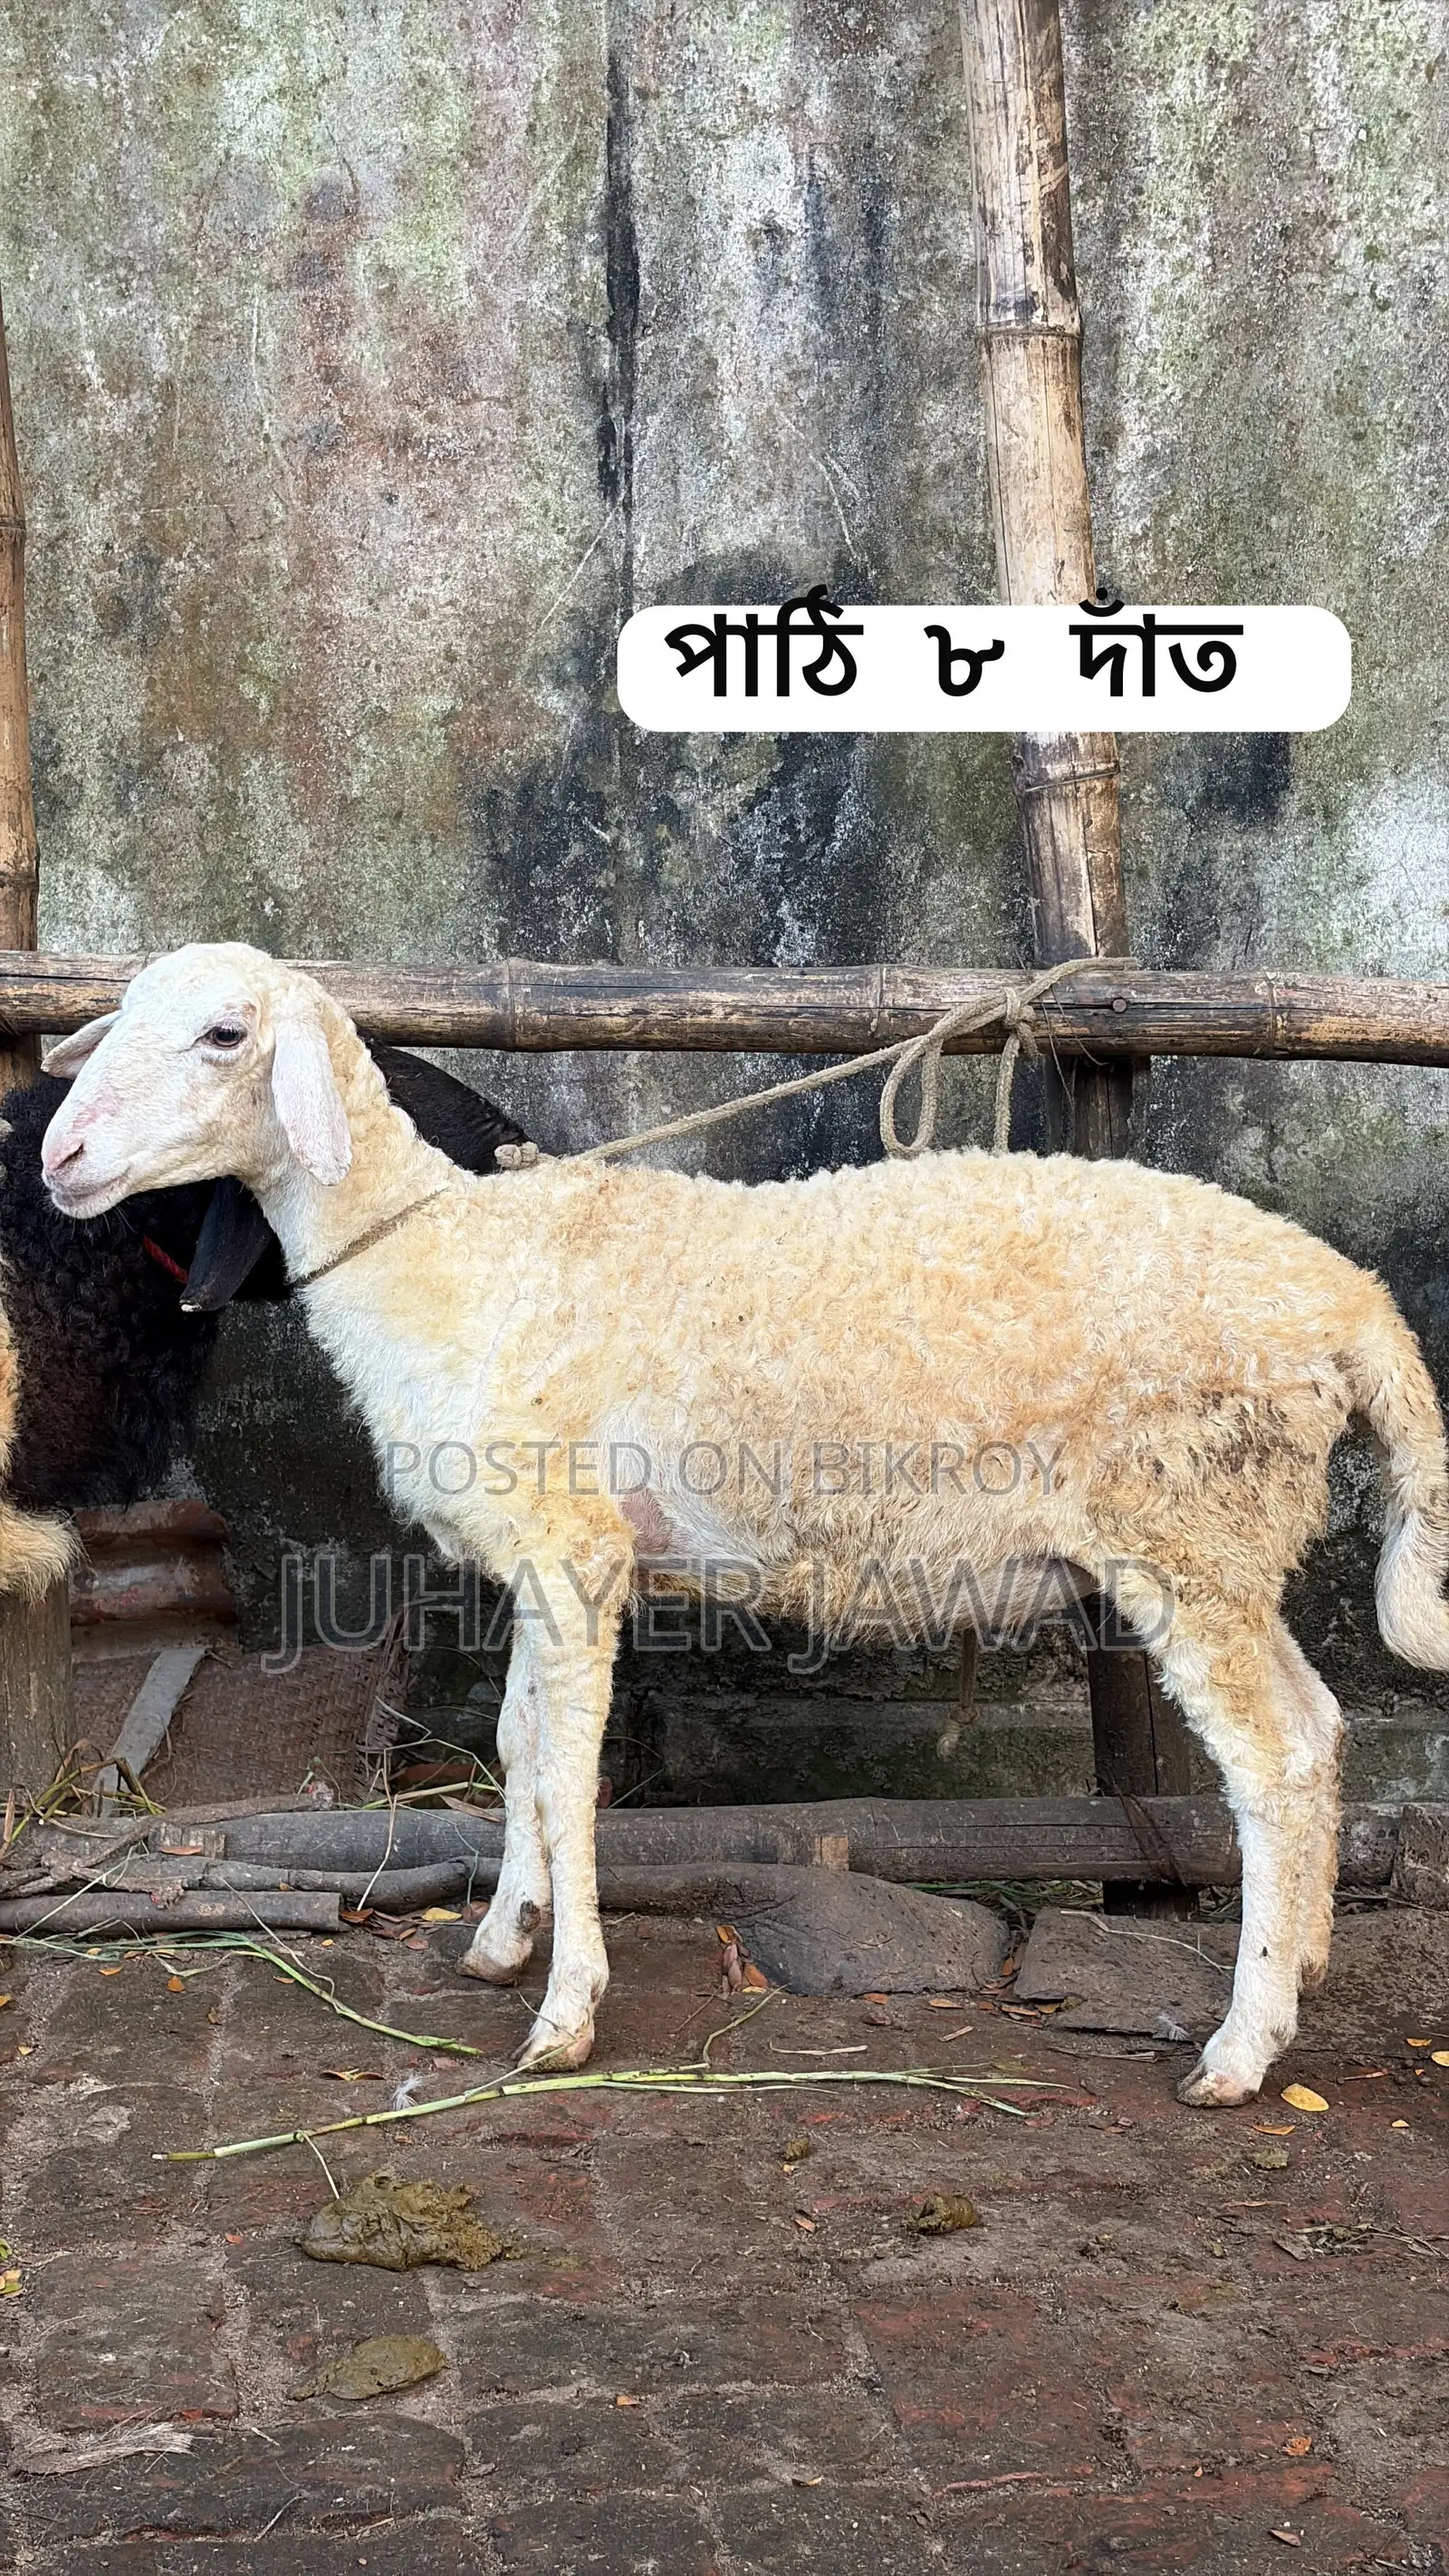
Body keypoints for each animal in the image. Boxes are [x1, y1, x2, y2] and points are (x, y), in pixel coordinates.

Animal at [38, 941, 1449, 2106]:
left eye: (225, 1034)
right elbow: (516, 1740)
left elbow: (567, 1770)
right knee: (1321, 1729)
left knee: (1271, 1761)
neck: (441, 1260)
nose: (58, 1159)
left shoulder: (574, 1549)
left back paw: (1240, 2048)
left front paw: (565, 2015)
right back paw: (1304, 1964)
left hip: (1187, 1523)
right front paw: (503, 1937)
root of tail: (1356, 1304)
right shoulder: (548, 1550)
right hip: (1234, 1545)